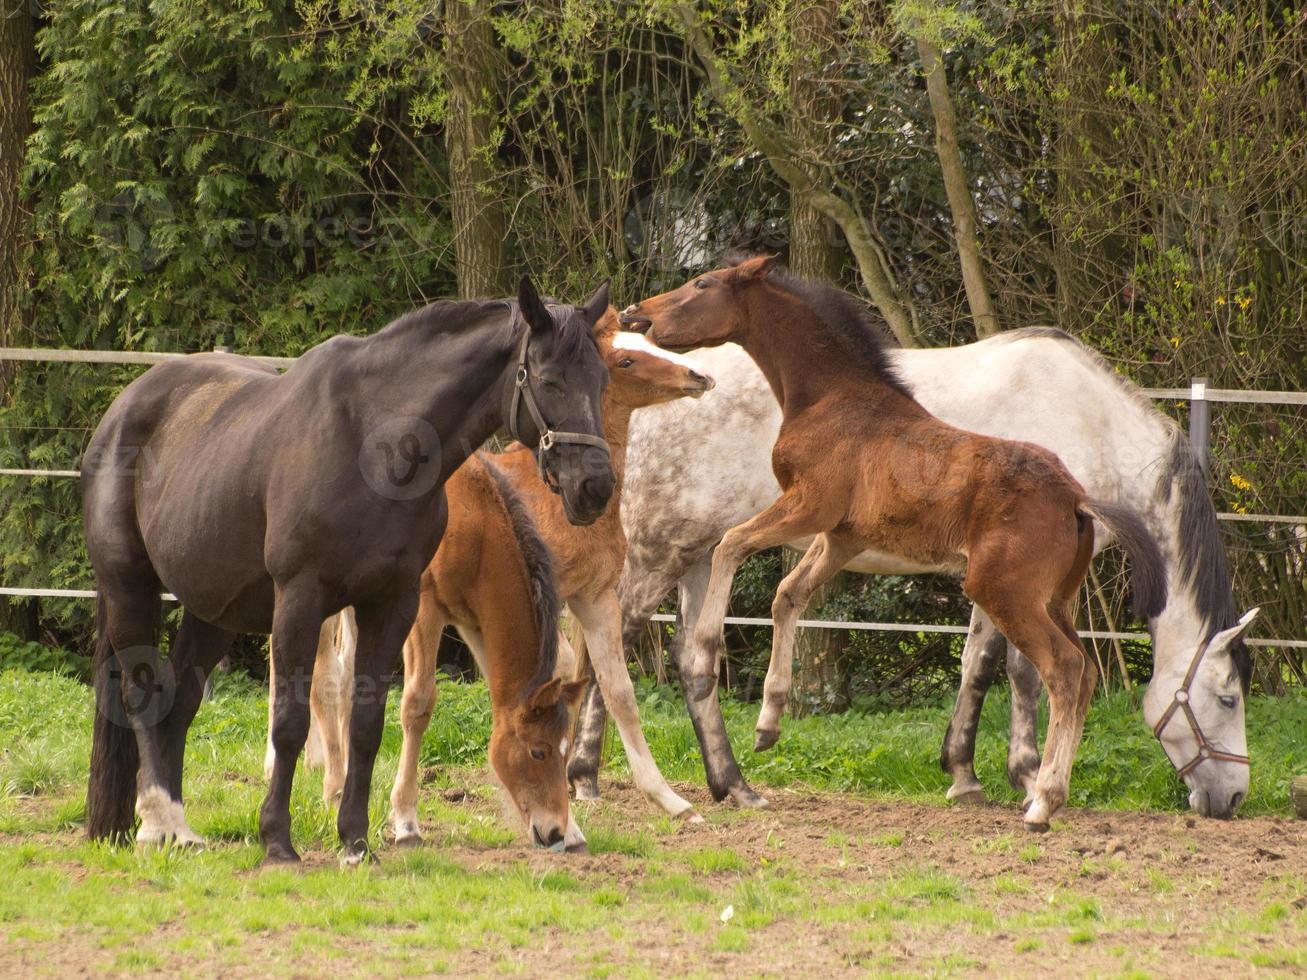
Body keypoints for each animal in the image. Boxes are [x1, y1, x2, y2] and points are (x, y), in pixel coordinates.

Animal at [84, 278, 614, 867]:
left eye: (601, 379)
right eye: (548, 379)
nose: (596, 486)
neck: (377, 445)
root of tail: (122, 411)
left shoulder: (393, 603)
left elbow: (367, 725)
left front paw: (356, 841)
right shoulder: (306, 599)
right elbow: (291, 722)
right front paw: (278, 839)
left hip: (214, 613)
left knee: (178, 705)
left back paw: (178, 825)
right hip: (130, 590)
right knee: (140, 694)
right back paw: (157, 821)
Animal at [622, 257, 1165, 831]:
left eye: (702, 284)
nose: (638, 314)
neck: (831, 398)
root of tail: (1076, 500)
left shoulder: (811, 504)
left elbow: (732, 546)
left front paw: (708, 653)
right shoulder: (840, 537)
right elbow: (788, 594)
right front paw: (769, 724)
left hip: (1004, 592)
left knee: (1063, 669)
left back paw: (1042, 801)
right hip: (1055, 599)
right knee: (1084, 672)